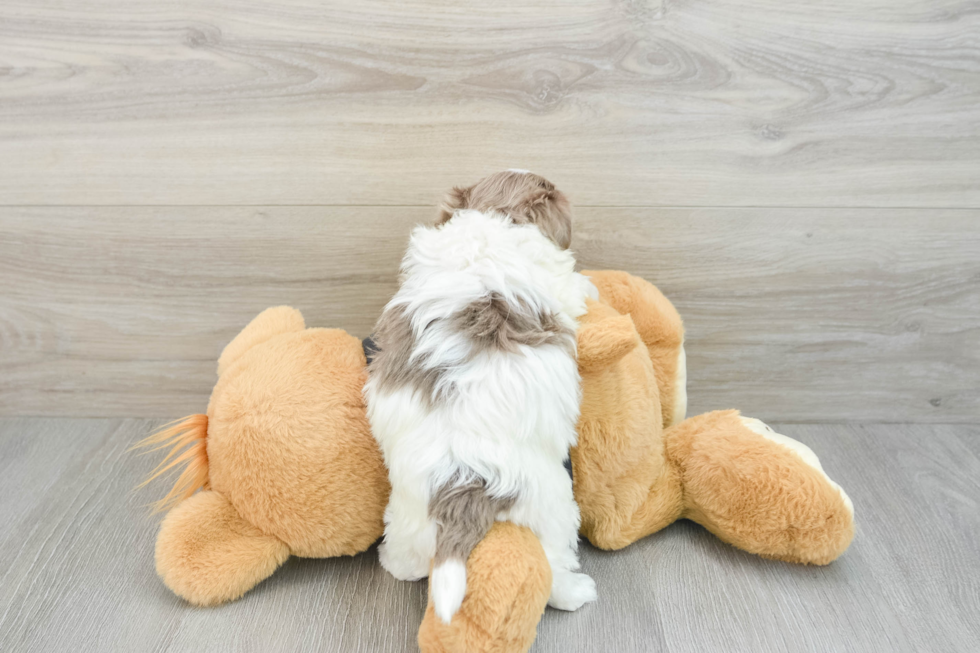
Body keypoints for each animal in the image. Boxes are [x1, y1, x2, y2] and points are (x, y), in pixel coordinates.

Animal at [366, 169, 600, 620]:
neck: (491, 220)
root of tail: (462, 482)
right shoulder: (556, 278)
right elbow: (574, 285)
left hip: (408, 512)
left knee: (410, 558)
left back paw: (393, 563)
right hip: (552, 508)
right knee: (554, 565)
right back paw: (577, 593)